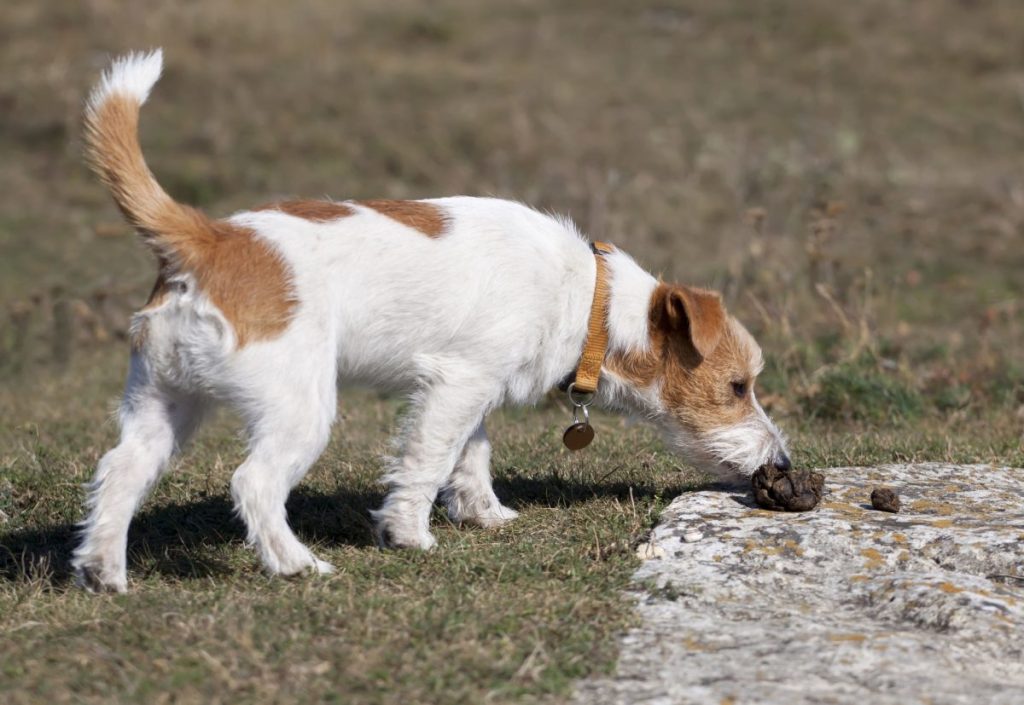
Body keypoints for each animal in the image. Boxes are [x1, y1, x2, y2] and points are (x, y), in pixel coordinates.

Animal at [72, 48, 790, 590]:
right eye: (737, 387)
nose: (782, 461)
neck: (591, 300)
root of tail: (208, 238)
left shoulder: (469, 388)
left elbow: (470, 455)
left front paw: (486, 514)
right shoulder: (457, 384)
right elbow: (427, 460)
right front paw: (409, 534)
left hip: (165, 400)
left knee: (119, 471)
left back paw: (104, 571)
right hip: (299, 407)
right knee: (253, 483)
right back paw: (296, 564)